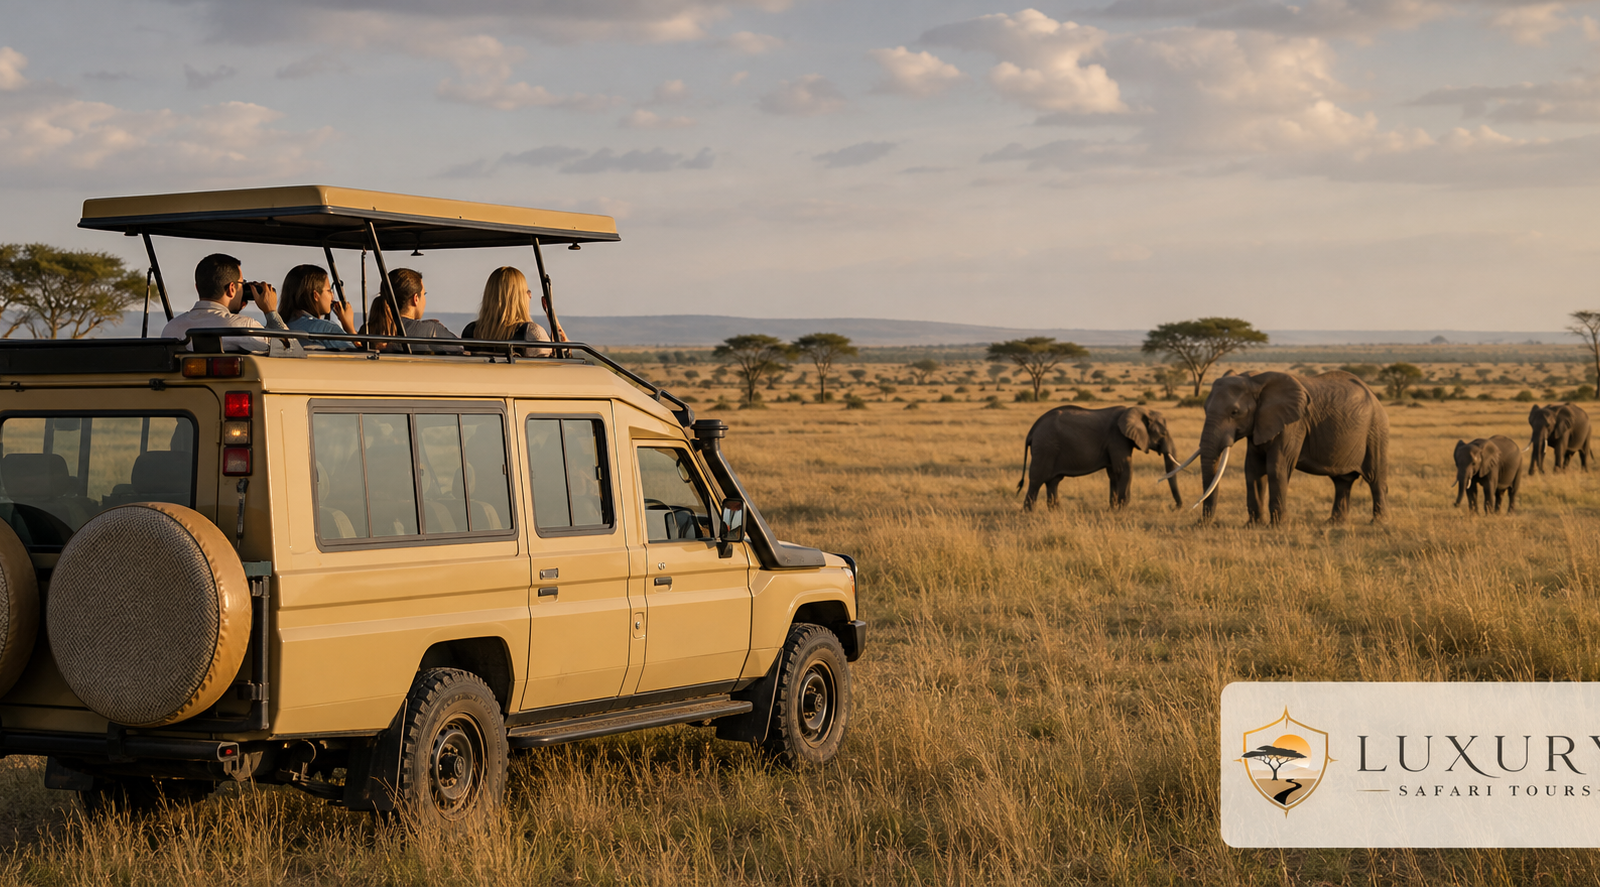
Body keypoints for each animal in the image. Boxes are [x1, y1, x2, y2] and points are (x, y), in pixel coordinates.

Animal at [1017, 405, 1183, 510]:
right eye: (1163, 433)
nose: (1175, 507)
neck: (1137, 410)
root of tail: (1032, 430)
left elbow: (1114, 473)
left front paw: (1112, 510)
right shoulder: (1117, 438)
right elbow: (1124, 469)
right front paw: (1122, 509)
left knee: (1053, 482)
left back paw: (1056, 513)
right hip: (1045, 447)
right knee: (1037, 480)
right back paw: (1029, 514)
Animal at [1167, 370, 1388, 524]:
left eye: (1234, 412)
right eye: (1204, 409)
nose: (1200, 523)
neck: (1255, 380)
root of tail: (1374, 396)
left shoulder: (1293, 424)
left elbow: (1276, 467)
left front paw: (1277, 526)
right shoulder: (1259, 424)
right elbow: (1253, 469)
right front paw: (1253, 526)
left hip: (1376, 430)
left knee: (1375, 478)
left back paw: (1377, 523)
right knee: (1342, 482)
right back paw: (1334, 523)